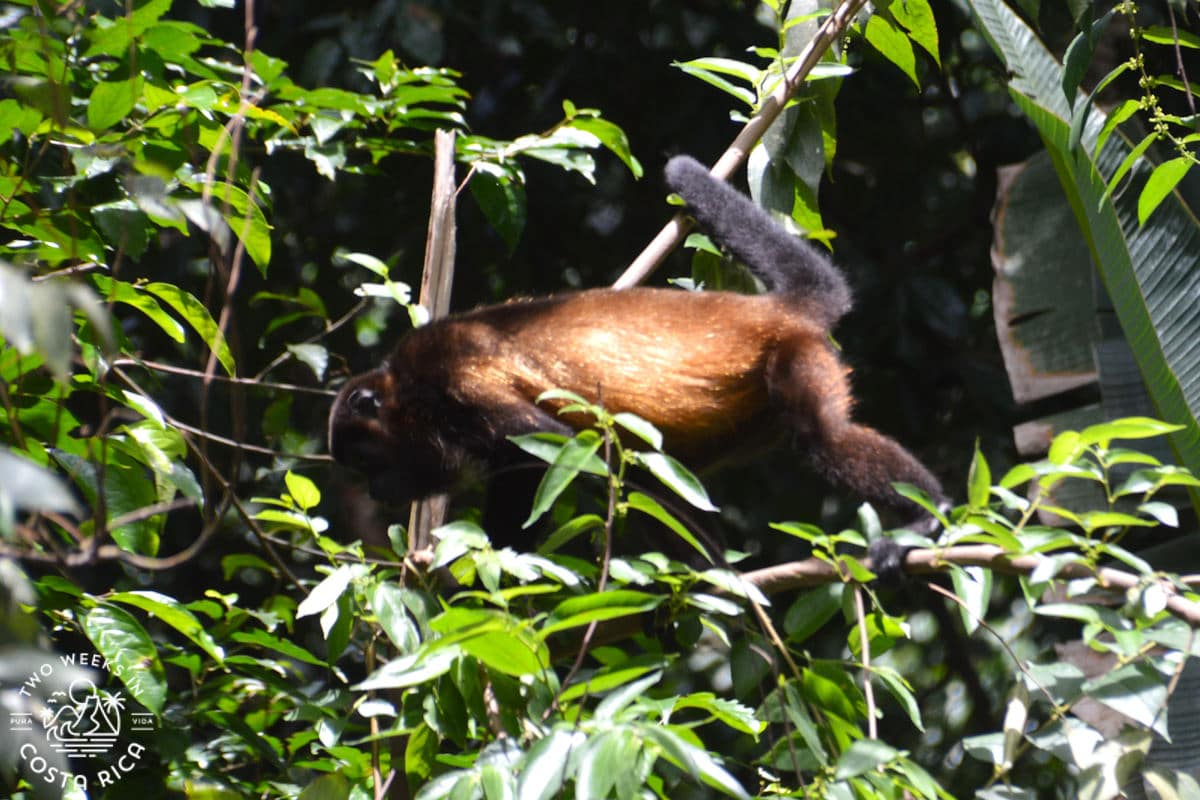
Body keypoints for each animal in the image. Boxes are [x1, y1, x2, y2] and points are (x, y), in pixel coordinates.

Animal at [328, 155, 946, 555]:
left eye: (365, 460)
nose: (374, 492)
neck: (409, 395)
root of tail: (773, 310)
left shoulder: (450, 375)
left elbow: (566, 449)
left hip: (795, 355)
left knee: (825, 438)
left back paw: (924, 521)